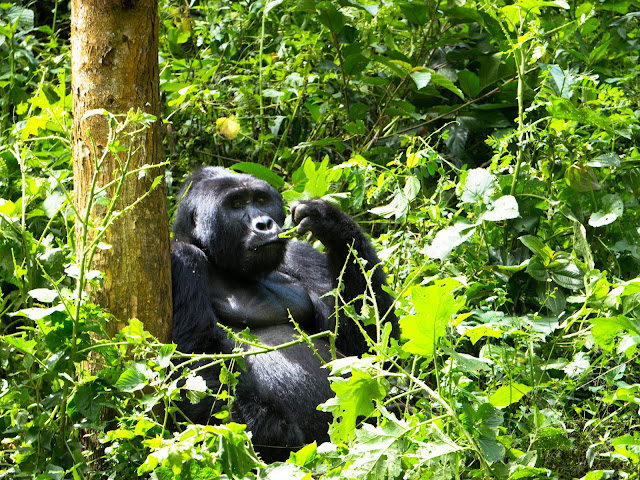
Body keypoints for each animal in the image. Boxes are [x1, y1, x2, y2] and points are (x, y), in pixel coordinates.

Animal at [170, 167, 398, 460]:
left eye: (260, 199)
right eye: (236, 204)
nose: (265, 224)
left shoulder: (299, 254)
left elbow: (368, 350)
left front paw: (331, 223)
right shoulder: (179, 260)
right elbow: (196, 364)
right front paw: (276, 437)